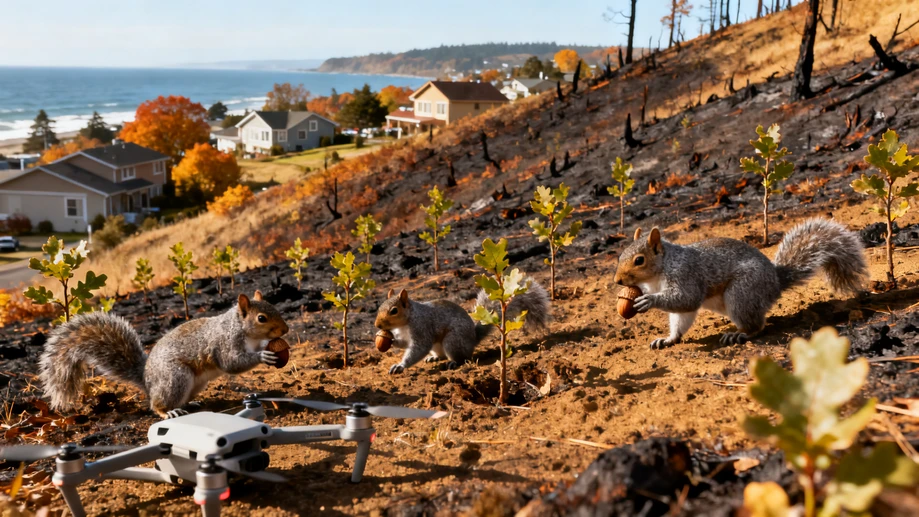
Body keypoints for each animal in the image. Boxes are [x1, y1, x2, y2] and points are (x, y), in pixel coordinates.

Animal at [39, 291, 289, 418]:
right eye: (261, 318)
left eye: (275, 307)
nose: (285, 330)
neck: (244, 330)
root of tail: (146, 378)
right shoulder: (224, 343)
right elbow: (232, 363)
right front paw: (263, 356)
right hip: (175, 377)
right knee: (157, 404)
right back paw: (168, 412)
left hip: (193, 383)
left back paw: (191, 404)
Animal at [375, 281, 551, 374]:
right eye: (379, 307)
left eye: (394, 311)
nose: (377, 325)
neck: (406, 322)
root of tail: (473, 339)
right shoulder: (405, 335)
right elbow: (404, 343)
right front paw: (389, 341)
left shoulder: (421, 328)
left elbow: (418, 348)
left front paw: (400, 365)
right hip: (440, 345)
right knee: (441, 354)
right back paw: (434, 357)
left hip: (453, 340)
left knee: (463, 357)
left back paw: (454, 362)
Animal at [613, 219, 867, 349]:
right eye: (620, 255)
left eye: (639, 260)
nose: (617, 281)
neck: (657, 274)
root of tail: (775, 282)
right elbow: (680, 318)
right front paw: (668, 339)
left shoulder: (685, 275)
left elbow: (686, 298)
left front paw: (649, 301)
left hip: (742, 294)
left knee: (757, 326)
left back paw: (740, 335)